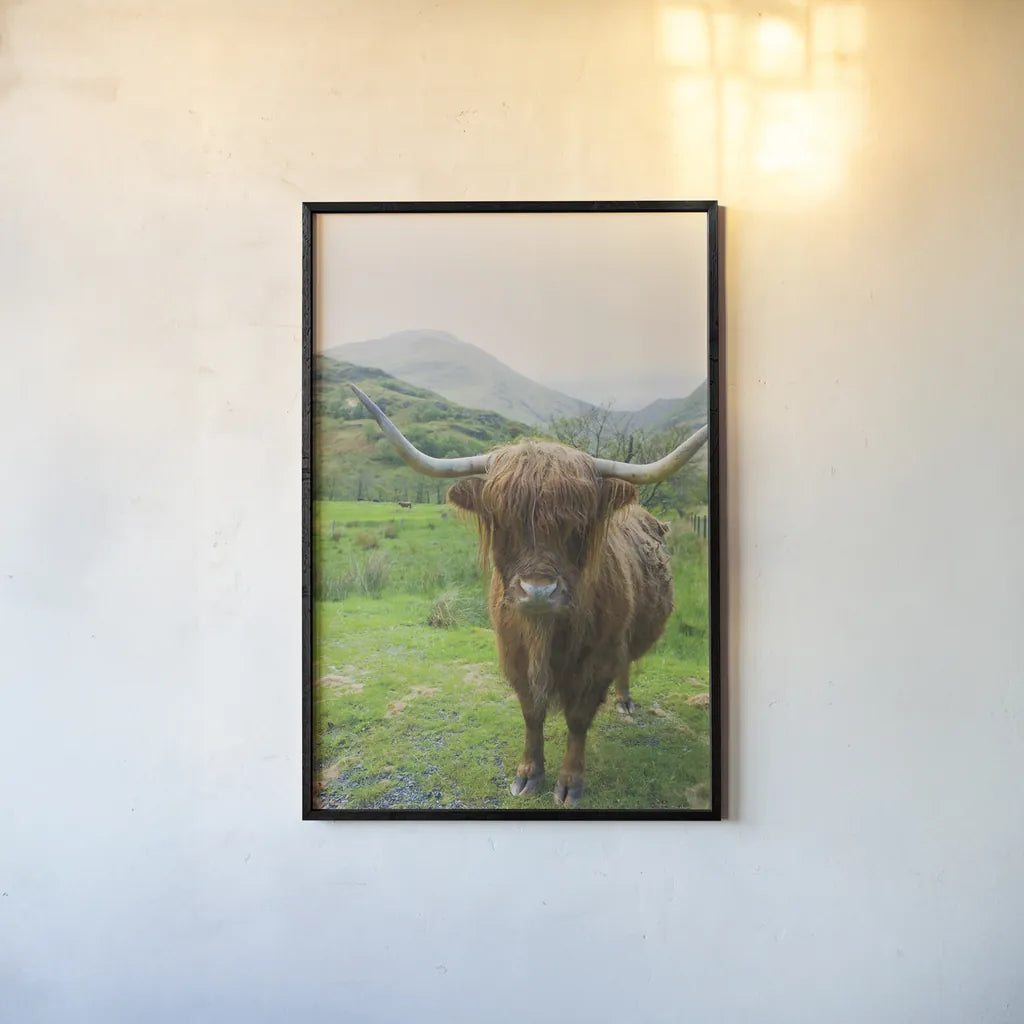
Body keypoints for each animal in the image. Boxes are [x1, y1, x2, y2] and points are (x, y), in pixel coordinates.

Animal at [350, 384, 708, 807]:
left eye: (579, 526)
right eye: (502, 522)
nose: (538, 591)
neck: (544, 634)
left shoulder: (596, 661)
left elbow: (577, 720)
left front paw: (569, 782)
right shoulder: (513, 655)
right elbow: (531, 713)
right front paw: (528, 773)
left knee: (625, 664)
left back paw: (624, 702)